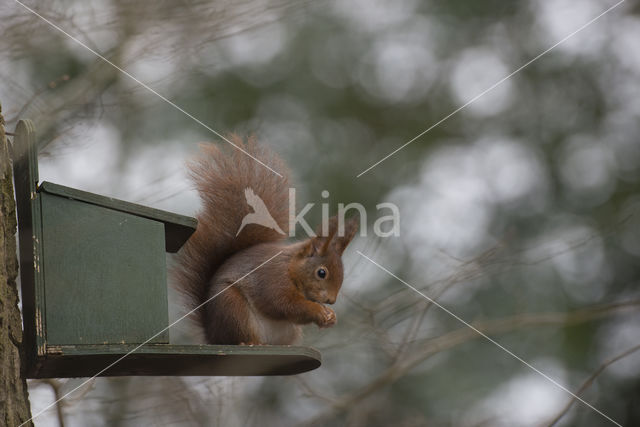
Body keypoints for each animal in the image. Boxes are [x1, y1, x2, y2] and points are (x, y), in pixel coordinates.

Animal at [172, 135, 358, 346]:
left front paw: (331, 316)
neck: (290, 267)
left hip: (287, 331)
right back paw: (249, 343)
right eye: (321, 273)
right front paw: (318, 311)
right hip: (232, 307)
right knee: (241, 335)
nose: (331, 300)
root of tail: (213, 336)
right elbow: (284, 304)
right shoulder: (273, 279)